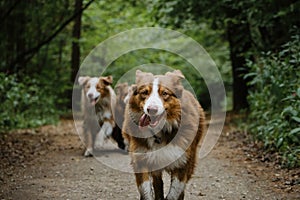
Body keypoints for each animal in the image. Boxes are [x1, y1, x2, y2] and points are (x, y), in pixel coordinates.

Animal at [122, 69, 206, 199]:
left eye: (165, 93)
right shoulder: (141, 159)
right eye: (144, 92)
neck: (160, 132)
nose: (152, 110)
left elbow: (175, 192)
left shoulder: (182, 161)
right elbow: (146, 190)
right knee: (157, 183)